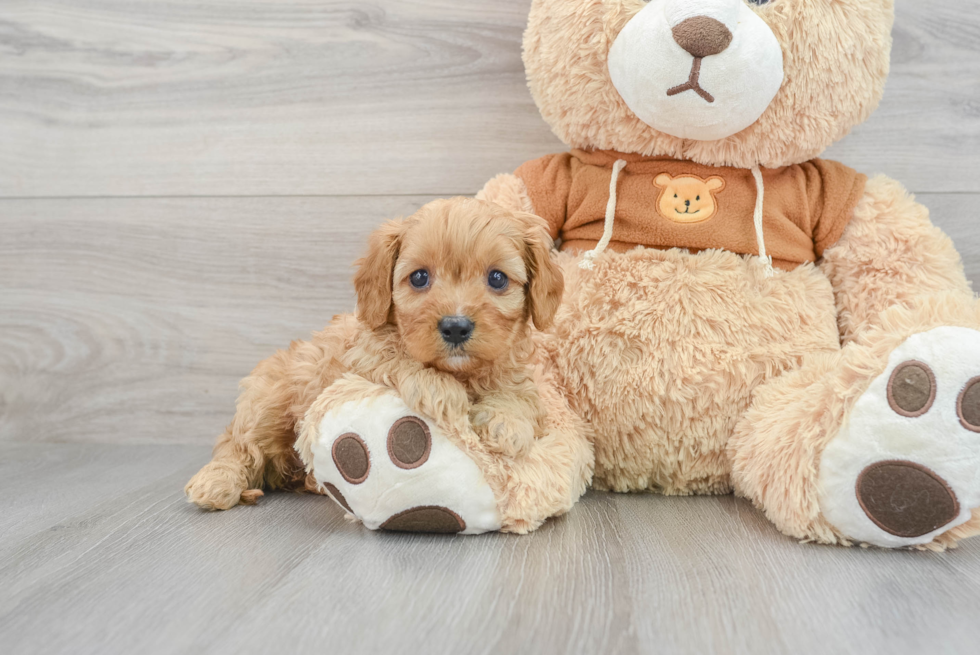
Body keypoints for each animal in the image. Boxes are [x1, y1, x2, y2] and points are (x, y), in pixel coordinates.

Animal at [187, 197, 564, 510]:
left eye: (497, 278)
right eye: (420, 277)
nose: (456, 326)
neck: (461, 372)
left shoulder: (515, 371)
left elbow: (522, 396)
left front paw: (507, 423)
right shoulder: (362, 359)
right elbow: (397, 362)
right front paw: (442, 392)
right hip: (268, 402)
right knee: (239, 445)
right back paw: (215, 482)